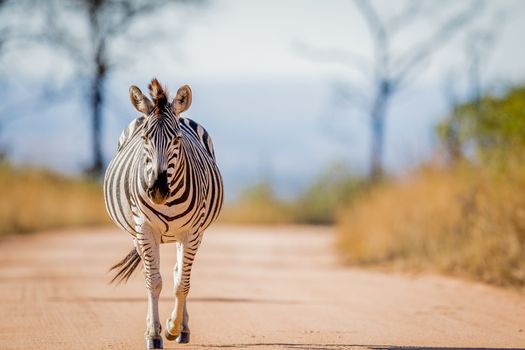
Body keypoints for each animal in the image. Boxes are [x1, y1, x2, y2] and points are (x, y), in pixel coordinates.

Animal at [104, 78, 223, 348]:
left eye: (177, 139)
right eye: (145, 138)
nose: (157, 190)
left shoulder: (191, 232)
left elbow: (182, 283)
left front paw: (172, 328)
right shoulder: (144, 230)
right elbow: (154, 282)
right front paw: (153, 333)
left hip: (190, 234)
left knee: (179, 272)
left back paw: (182, 328)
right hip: (137, 235)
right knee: (151, 274)